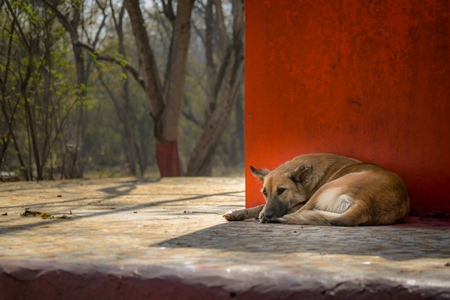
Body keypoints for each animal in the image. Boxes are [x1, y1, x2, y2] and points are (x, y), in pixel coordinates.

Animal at [223, 154, 410, 226]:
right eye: (264, 192)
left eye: (281, 190)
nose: (268, 215)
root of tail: (366, 204)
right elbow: (259, 206)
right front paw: (237, 212)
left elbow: (263, 207)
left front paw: (259, 214)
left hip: (327, 187)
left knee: (299, 211)